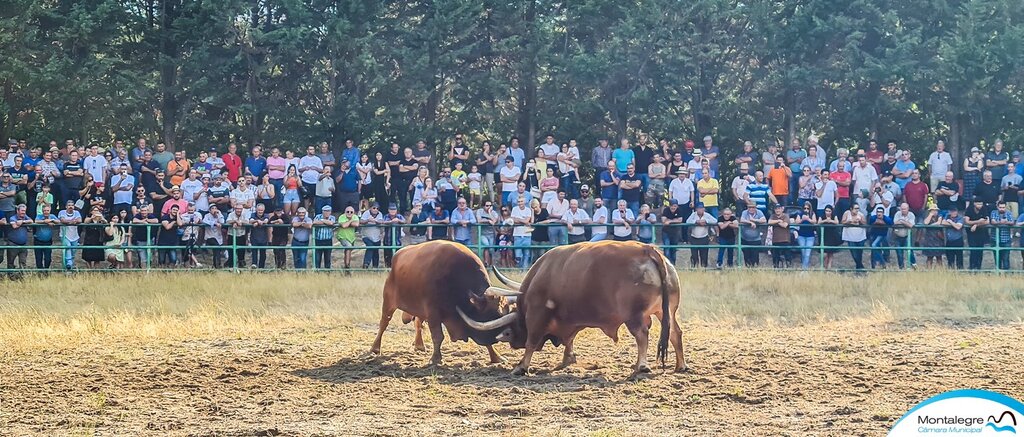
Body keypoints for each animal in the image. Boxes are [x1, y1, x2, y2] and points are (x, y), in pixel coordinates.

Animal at [368, 239, 516, 366]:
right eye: (495, 314)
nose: (506, 335)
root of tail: (398, 255)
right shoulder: (433, 312)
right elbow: (438, 336)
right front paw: (436, 359)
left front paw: (497, 357)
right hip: (389, 301)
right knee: (384, 323)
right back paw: (375, 348)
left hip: (419, 309)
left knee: (418, 323)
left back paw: (419, 345)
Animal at [460, 239, 684, 376]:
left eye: (513, 329)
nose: (513, 342)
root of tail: (647, 249)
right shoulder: (570, 319)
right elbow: (570, 339)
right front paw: (567, 359)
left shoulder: (537, 314)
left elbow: (532, 341)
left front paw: (521, 366)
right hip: (666, 311)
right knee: (675, 333)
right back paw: (680, 365)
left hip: (635, 316)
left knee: (642, 335)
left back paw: (641, 366)